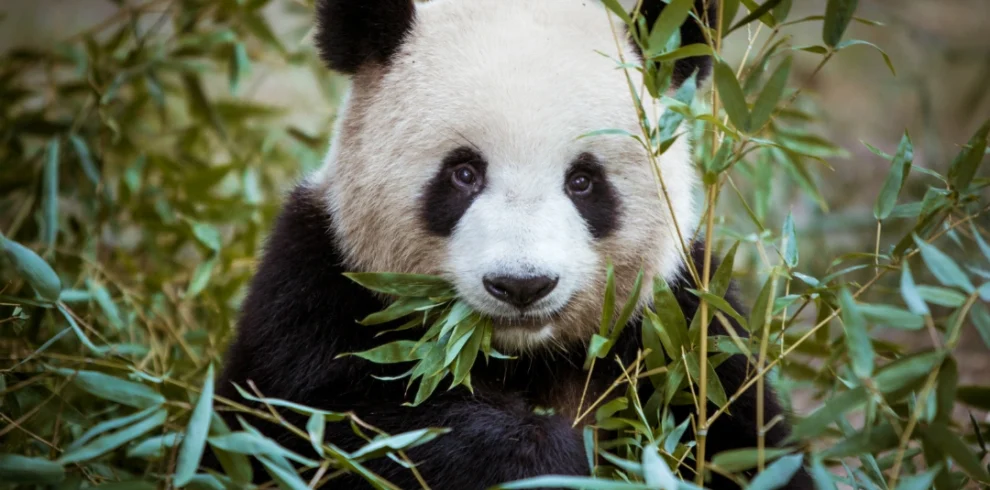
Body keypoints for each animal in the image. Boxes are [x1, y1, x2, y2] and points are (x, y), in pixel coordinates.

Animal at [215, 0, 813, 489]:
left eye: (583, 181)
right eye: (463, 173)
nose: (522, 285)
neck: (519, 355)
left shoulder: (687, 328)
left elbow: (749, 450)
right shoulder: (316, 288)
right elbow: (325, 426)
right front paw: (549, 459)